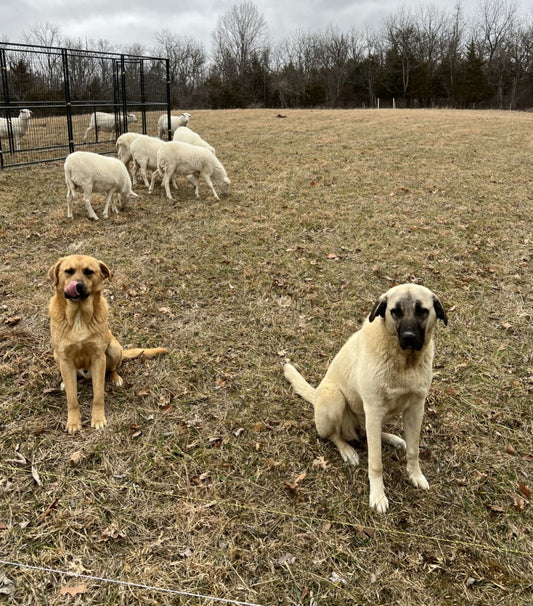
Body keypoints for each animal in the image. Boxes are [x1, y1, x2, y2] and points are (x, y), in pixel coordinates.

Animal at [48, 254, 168, 434]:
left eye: (89, 272)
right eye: (68, 271)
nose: (77, 286)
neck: (78, 317)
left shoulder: (99, 358)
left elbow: (98, 394)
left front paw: (98, 419)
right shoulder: (65, 359)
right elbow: (72, 398)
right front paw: (74, 422)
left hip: (113, 348)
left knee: (111, 368)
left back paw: (115, 377)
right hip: (57, 356)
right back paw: (64, 382)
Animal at [284, 284, 446, 512]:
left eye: (422, 310)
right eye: (395, 311)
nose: (408, 337)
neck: (405, 362)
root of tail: (316, 396)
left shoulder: (415, 408)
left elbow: (413, 450)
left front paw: (415, 475)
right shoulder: (374, 409)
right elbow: (375, 462)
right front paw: (378, 496)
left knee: (365, 433)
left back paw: (392, 438)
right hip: (335, 398)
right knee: (335, 436)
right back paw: (348, 451)